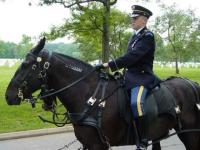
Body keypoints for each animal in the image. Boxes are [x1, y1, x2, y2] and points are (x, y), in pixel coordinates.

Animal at [4, 37, 200, 150]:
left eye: (26, 65)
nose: (8, 95)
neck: (89, 96)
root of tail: (191, 83)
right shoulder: (88, 144)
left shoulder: (97, 144)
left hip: (190, 133)